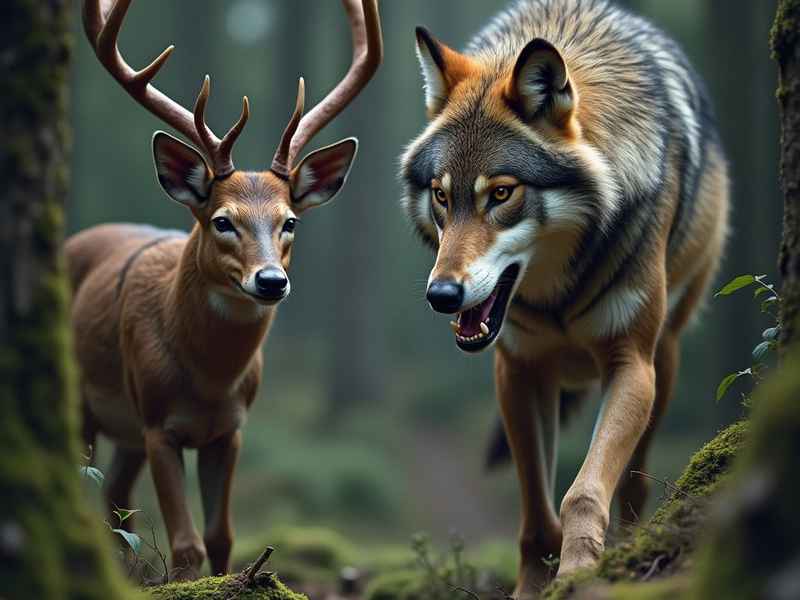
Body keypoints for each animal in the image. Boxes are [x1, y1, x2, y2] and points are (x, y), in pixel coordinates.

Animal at [67, 0, 382, 581]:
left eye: (289, 222)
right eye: (222, 221)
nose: (271, 280)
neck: (209, 380)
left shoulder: (230, 430)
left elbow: (221, 535)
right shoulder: (158, 422)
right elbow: (186, 542)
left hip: (125, 433)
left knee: (116, 501)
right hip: (87, 403)